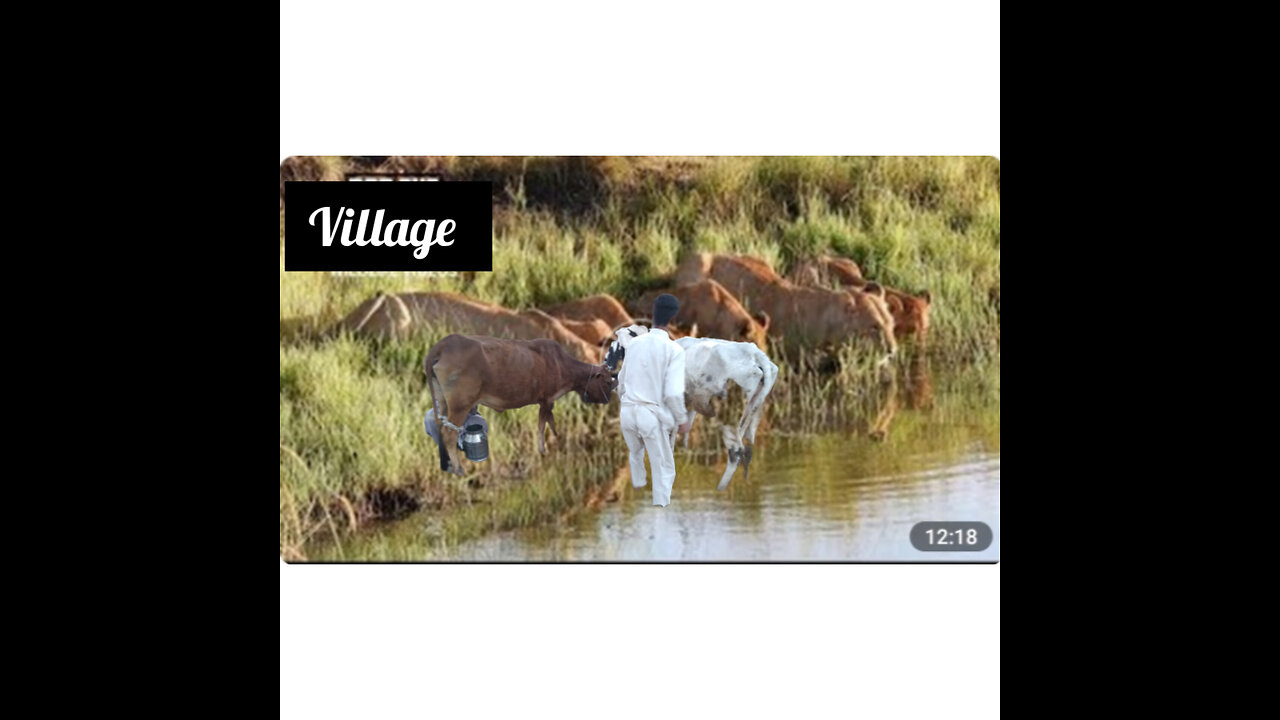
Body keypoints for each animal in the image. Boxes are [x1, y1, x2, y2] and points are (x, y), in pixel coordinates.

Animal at [424, 333, 614, 474]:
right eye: (608, 382)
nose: (608, 400)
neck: (563, 366)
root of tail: (443, 345)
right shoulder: (546, 398)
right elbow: (542, 425)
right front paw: (543, 450)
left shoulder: (548, 401)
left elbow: (550, 421)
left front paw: (556, 438)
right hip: (460, 405)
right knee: (449, 433)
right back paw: (458, 468)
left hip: (443, 400)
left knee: (439, 426)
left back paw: (447, 465)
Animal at [606, 327, 778, 489]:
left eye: (615, 348)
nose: (608, 364)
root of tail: (755, 354)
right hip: (753, 415)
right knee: (748, 448)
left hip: (729, 417)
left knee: (736, 452)